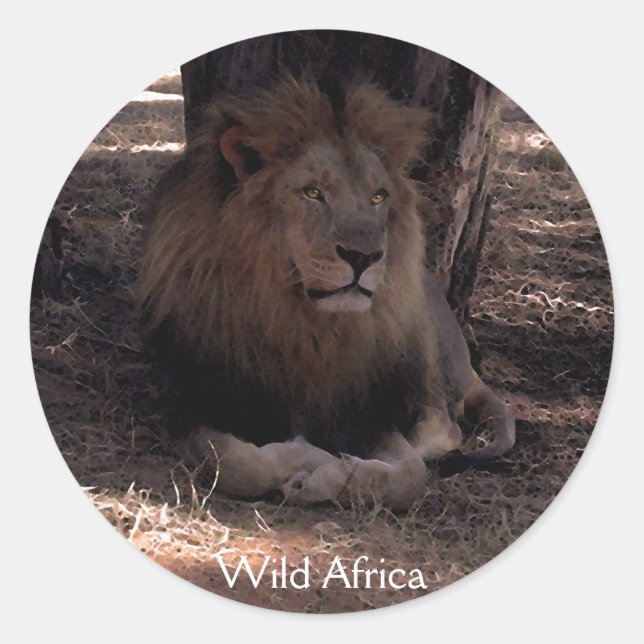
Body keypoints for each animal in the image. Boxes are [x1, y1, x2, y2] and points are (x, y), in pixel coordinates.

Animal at [138, 78, 515, 509]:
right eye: (313, 193)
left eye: (378, 197)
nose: (364, 256)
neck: (300, 324)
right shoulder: (196, 401)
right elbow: (234, 463)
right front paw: (308, 458)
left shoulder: (364, 415)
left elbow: (409, 476)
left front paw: (325, 475)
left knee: (446, 428)